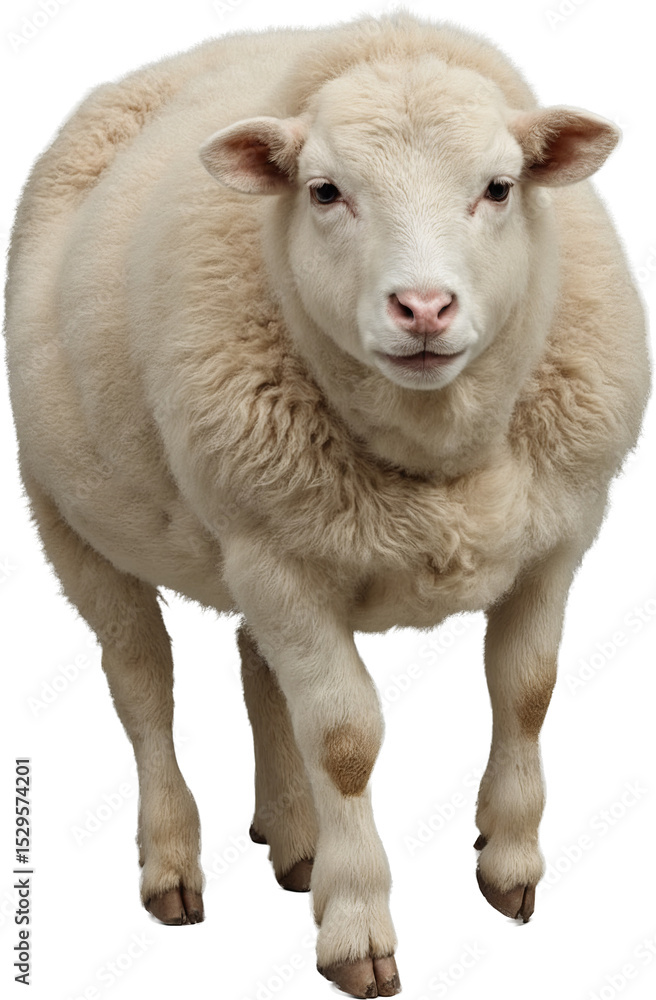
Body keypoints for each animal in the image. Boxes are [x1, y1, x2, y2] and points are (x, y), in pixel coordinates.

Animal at [4, 12, 649, 998]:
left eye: (500, 188)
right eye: (325, 191)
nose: (422, 308)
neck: (435, 447)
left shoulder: (558, 537)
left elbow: (528, 691)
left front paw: (509, 864)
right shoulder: (280, 563)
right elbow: (345, 739)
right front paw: (356, 928)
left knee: (253, 662)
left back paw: (294, 838)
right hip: (70, 521)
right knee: (142, 686)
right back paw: (173, 862)